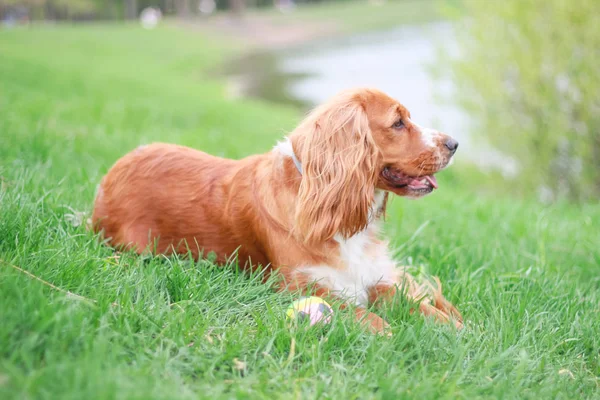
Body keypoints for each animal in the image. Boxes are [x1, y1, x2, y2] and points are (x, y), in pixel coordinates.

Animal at [91, 88, 462, 334]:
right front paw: (388, 330)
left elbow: (411, 301)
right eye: (398, 123)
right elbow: (356, 311)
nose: (454, 143)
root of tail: (107, 180)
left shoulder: (371, 276)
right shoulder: (297, 286)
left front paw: (452, 325)